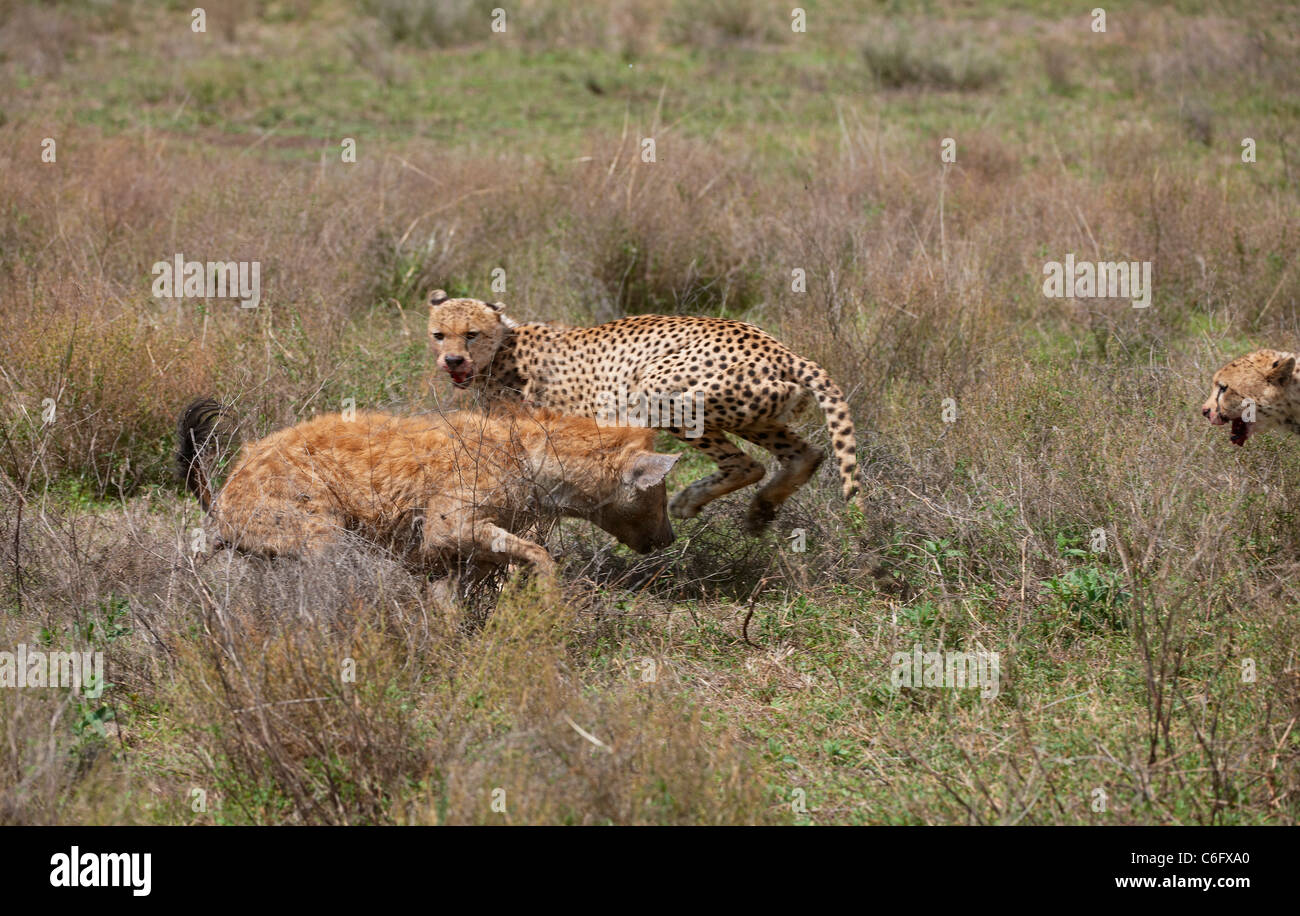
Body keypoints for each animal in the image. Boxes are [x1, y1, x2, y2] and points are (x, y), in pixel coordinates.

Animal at [176, 397, 681, 574]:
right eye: (660, 495)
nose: (670, 538)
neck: (526, 456)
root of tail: (223, 491)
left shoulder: (441, 556)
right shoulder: (448, 525)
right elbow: (539, 553)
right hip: (321, 533)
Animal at [421, 289, 857, 532]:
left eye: (471, 334)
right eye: (439, 335)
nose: (453, 360)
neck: (501, 347)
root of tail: (778, 347)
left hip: (658, 392)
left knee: (746, 464)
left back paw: (690, 501)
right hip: (755, 412)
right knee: (805, 453)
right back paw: (760, 509)